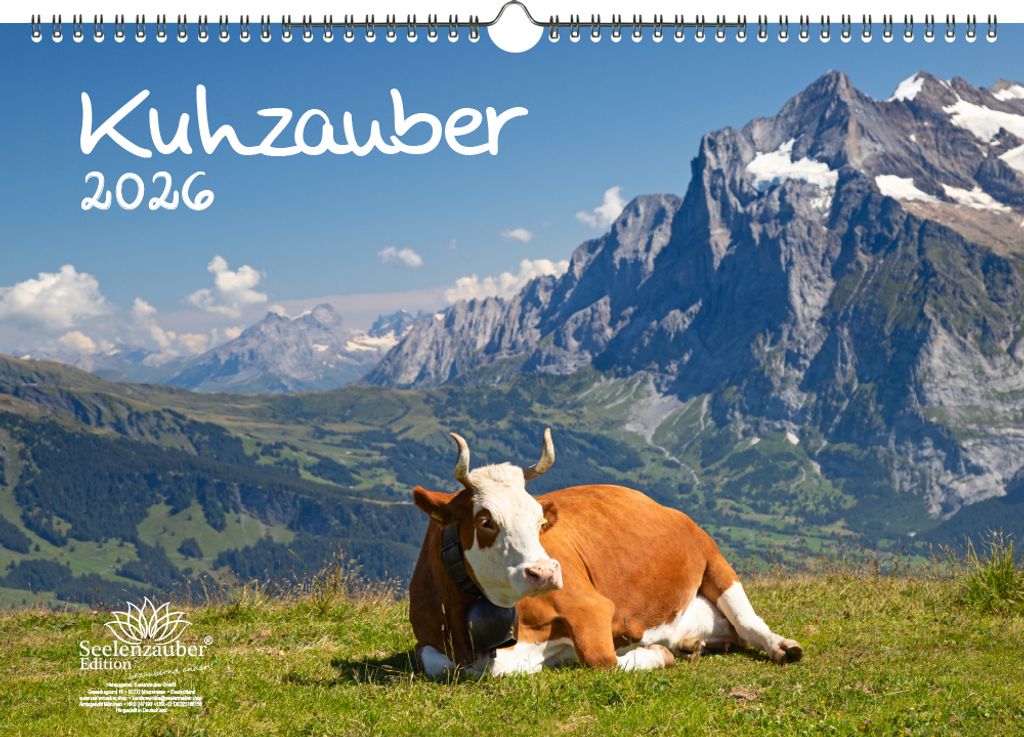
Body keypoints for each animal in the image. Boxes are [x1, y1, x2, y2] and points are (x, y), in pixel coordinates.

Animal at [409, 428, 803, 677]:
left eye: (539, 519)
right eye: (486, 521)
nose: (546, 572)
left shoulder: (592, 607)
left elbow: (602, 659)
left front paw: (655, 654)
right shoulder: (430, 643)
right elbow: (440, 665)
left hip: (714, 559)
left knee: (747, 621)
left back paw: (782, 646)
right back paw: (692, 643)